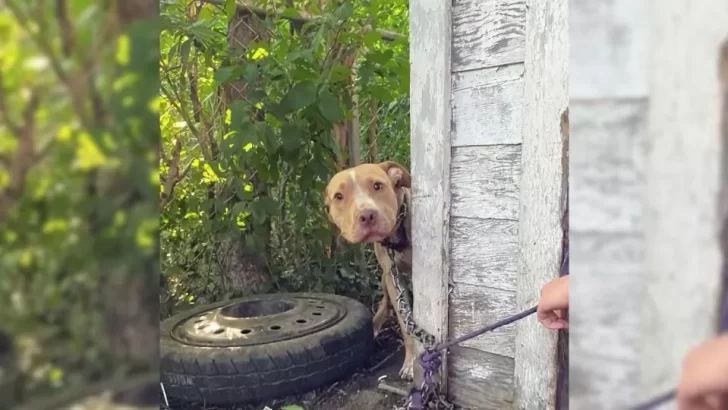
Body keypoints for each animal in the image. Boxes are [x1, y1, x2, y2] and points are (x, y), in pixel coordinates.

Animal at [324, 162, 416, 380]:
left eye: (377, 186)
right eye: (339, 196)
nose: (366, 215)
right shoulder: (393, 278)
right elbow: (405, 324)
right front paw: (412, 361)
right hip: (384, 278)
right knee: (385, 302)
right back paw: (374, 325)